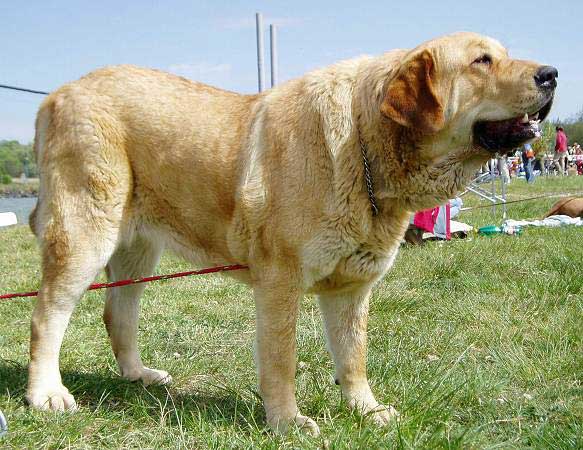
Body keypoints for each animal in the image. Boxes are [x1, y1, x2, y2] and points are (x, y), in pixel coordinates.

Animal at [26, 32, 556, 436]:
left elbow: (353, 357)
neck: (363, 145)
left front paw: (365, 409)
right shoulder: (280, 283)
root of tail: (59, 93)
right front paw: (286, 422)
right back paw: (46, 394)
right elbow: (282, 359)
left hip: (137, 251)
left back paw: (138, 375)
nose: (551, 73)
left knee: (118, 313)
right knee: (46, 315)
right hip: (85, 234)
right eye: (482, 61)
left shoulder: (350, 289)